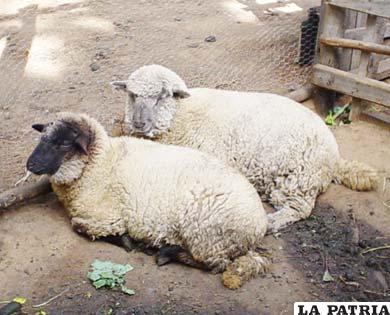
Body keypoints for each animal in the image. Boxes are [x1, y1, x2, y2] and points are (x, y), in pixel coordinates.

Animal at [26, 112, 272, 290]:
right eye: (42, 138)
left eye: (65, 143)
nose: (30, 164)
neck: (100, 163)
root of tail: (258, 228)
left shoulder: (105, 217)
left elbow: (80, 225)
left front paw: (127, 241)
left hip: (205, 236)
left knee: (213, 264)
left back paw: (164, 253)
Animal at [111, 64, 380, 233]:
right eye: (132, 95)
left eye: (162, 96)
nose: (139, 123)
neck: (181, 115)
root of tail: (335, 159)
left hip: (300, 177)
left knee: (300, 209)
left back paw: (273, 223)